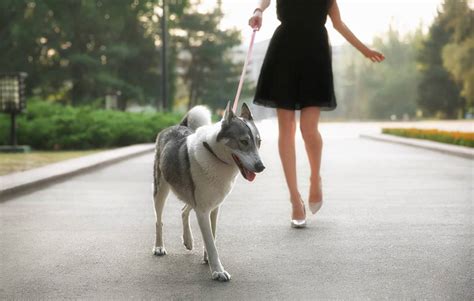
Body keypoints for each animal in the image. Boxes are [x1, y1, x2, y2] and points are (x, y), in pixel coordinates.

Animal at [152, 102, 264, 280]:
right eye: (244, 141)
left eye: (259, 142)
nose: (261, 167)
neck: (214, 155)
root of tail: (177, 126)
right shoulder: (203, 210)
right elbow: (211, 243)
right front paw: (218, 271)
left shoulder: (213, 207)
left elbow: (212, 235)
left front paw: (207, 259)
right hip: (160, 191)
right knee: (159, 220)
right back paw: (159, 247)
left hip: (191, 196)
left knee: (184, 210)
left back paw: (188, 240)